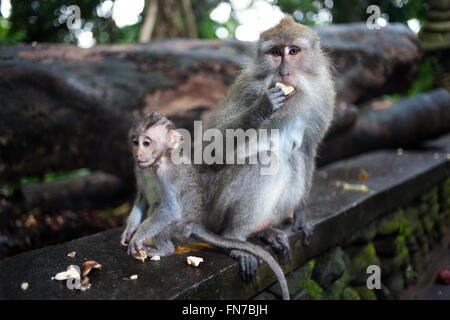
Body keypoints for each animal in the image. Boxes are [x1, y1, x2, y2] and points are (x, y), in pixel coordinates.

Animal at [120, 112, 288, 300]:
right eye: (135, 141)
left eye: (147, 143)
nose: (139, 153)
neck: (157, 162)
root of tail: (194, 223)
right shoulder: (139, 169)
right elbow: (142, 197)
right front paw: (129, 231)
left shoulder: (166, 174)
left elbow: (171, 208)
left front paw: (137, 237)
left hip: (180, 227)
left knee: (165, 220)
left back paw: (164, 250)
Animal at [200, 16, 334, 280]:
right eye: (275, 53)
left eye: (293, 51)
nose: (283, 71)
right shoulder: (246, 89)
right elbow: (208, 149)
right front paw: (262, 108)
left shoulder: (323, 97)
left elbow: (306, 151)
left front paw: (300, 216)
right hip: (214, 208)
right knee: (266, 160)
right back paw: (235, 240)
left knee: (293, 161)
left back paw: (264, 231)